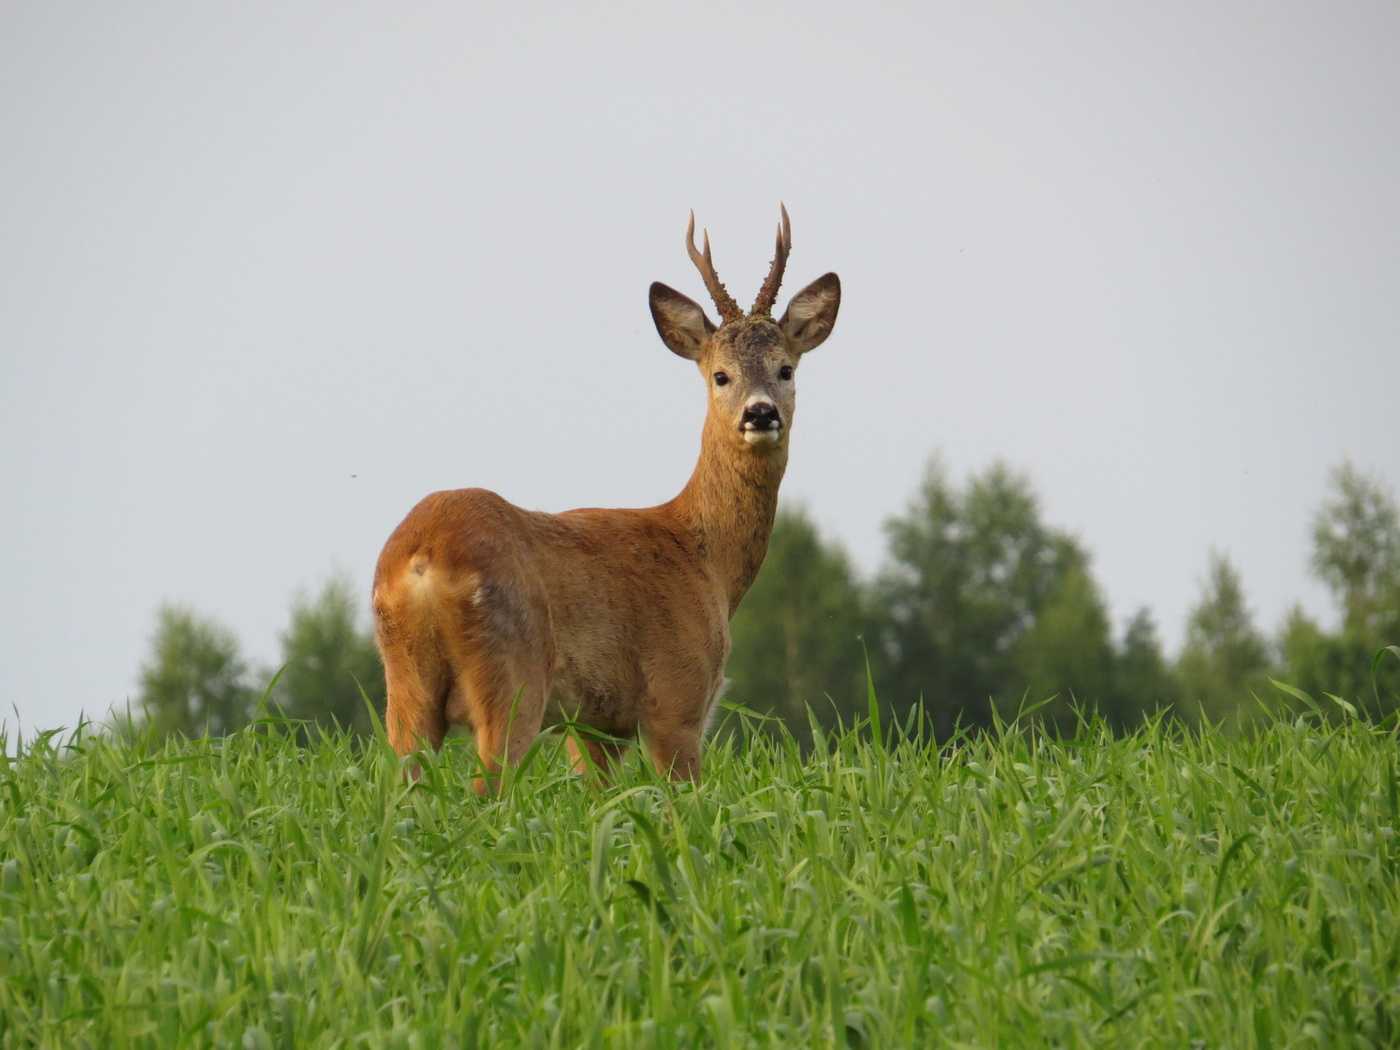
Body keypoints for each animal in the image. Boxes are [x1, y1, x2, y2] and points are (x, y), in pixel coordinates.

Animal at [366, 207, 840, 789]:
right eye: (720, 375)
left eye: (785, 369)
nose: (760, 413)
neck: (706, 558)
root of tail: (423, 558)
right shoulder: (677, 697)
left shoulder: (593, 724)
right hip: (512, 674)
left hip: (405, 688)